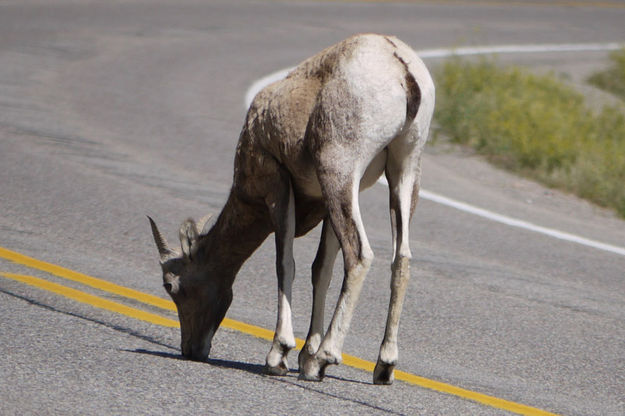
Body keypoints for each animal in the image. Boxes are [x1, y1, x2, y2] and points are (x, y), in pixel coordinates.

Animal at [151, 34, 434, 386]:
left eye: (171, 286)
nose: (191, 350)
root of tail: (401, 66)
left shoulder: (278, 185)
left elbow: (285, 263)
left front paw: (280, 355)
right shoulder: (330, 203)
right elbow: (320, 269)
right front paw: (306, 360)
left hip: (339, 173)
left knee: (359, 255)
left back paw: (329, 355)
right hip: (403, 174)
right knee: (401, 259)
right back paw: (383, 366)